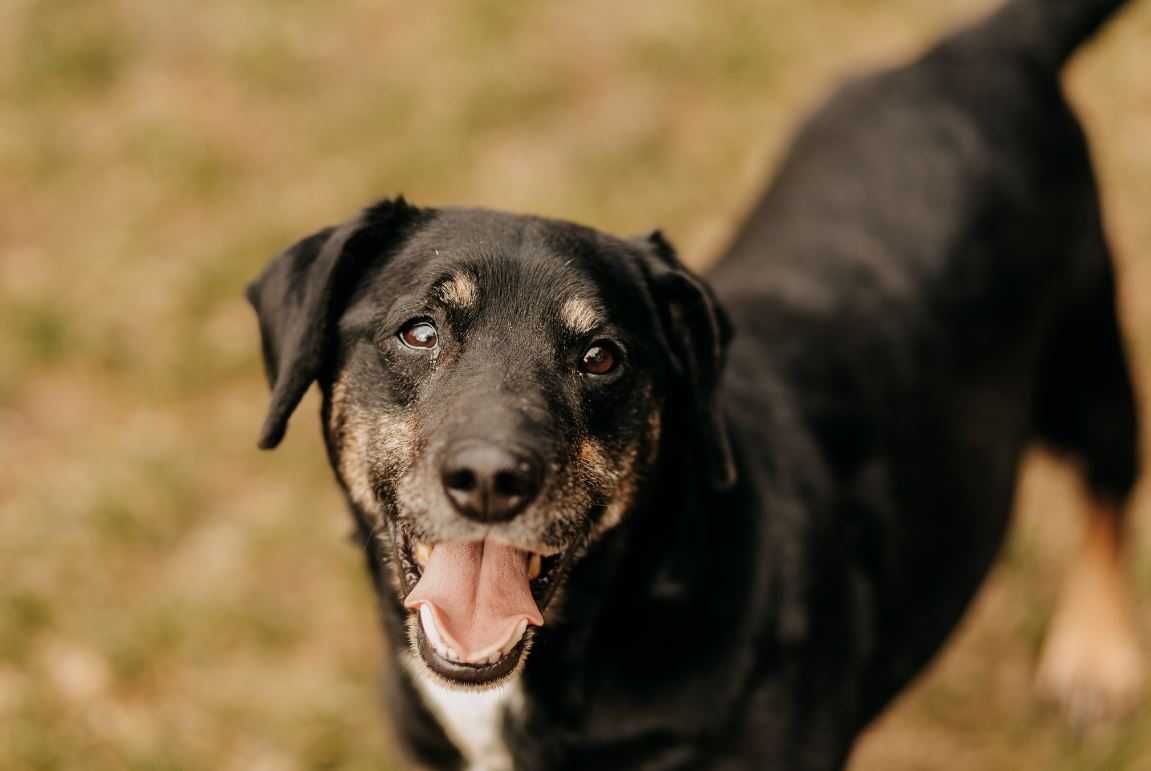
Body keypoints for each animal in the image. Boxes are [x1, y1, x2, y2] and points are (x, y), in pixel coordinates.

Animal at [245, 1, 1141, 768]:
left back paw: (1095, 657)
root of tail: (979, 48)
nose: (491, 479)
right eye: (419, 331)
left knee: (1109, 487)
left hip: (1088, 358)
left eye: (602, 356)